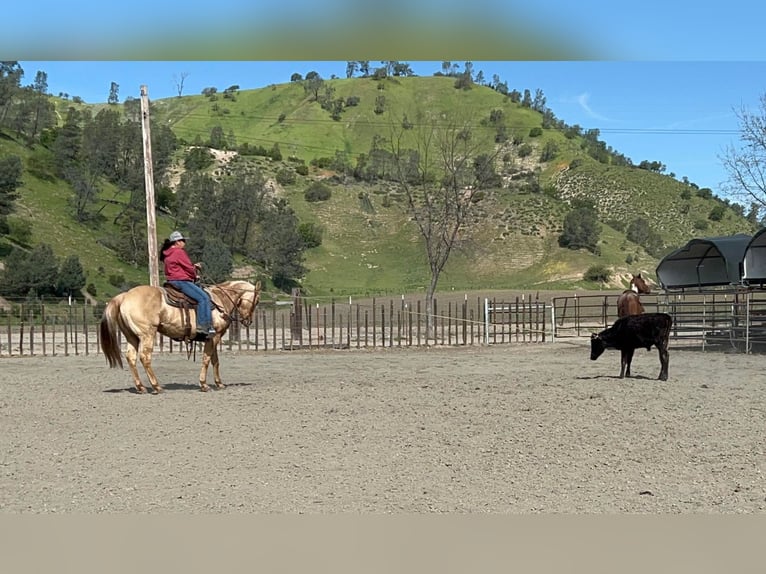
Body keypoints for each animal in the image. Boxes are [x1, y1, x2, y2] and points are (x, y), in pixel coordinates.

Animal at [99, 280, 262, 396]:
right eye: (257, 300)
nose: (248, 321)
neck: (220, 301)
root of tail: (125, 296)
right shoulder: (214, 337)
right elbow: (207, 359)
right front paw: (204, 384)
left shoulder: (213, 338)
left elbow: (215, 361)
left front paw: (219, 384)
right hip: (147, 334)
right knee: (145, 357)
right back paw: (156, 386)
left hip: (132, 336)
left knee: (131, 357)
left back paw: (141, 387)